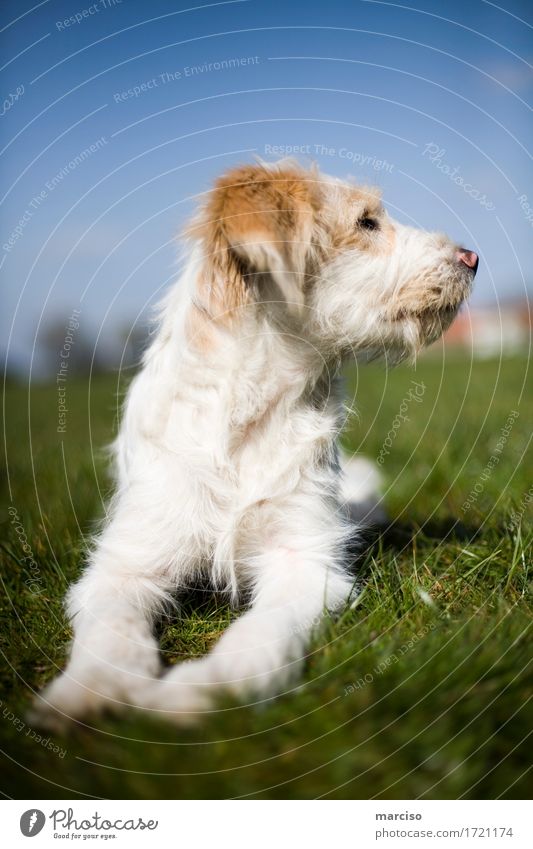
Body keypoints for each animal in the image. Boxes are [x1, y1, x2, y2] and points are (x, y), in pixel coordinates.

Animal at [31, 161, 476, 728]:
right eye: (366, 222)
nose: (472, 257)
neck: (251, 412)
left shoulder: (303, 559)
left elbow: (259, 632)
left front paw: (205, 692)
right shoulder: (126, 564)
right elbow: (111, 631)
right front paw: (85, 693)